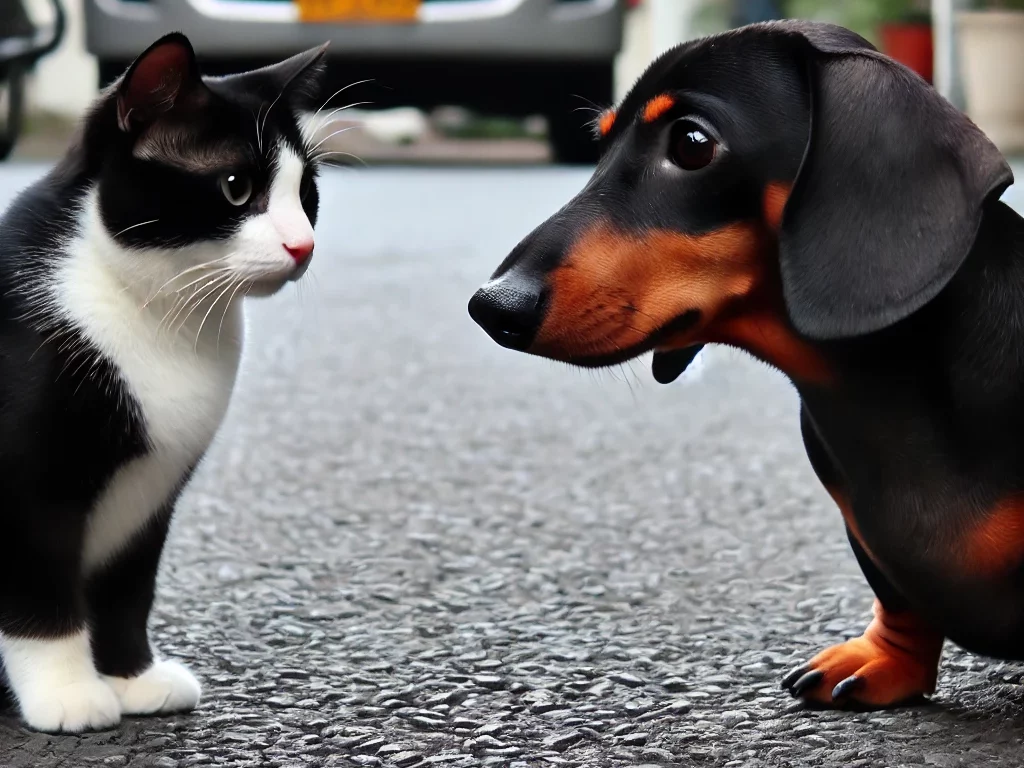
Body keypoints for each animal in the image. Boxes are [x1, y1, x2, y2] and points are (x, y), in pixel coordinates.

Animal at [0, 33, 325, 737]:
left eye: (308, 193)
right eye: (236, 187)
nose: (303, 245)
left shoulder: (155, 495)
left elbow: (128, 589)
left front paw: (131, 678)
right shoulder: (28, 484)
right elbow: (41, 587)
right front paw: (67, 692)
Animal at [466, 18, 1024, 712]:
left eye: (692, 143)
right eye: (600, 142)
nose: (491, 306)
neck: (883, 384)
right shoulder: (868, 539)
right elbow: (898, 599)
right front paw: (885, 659)